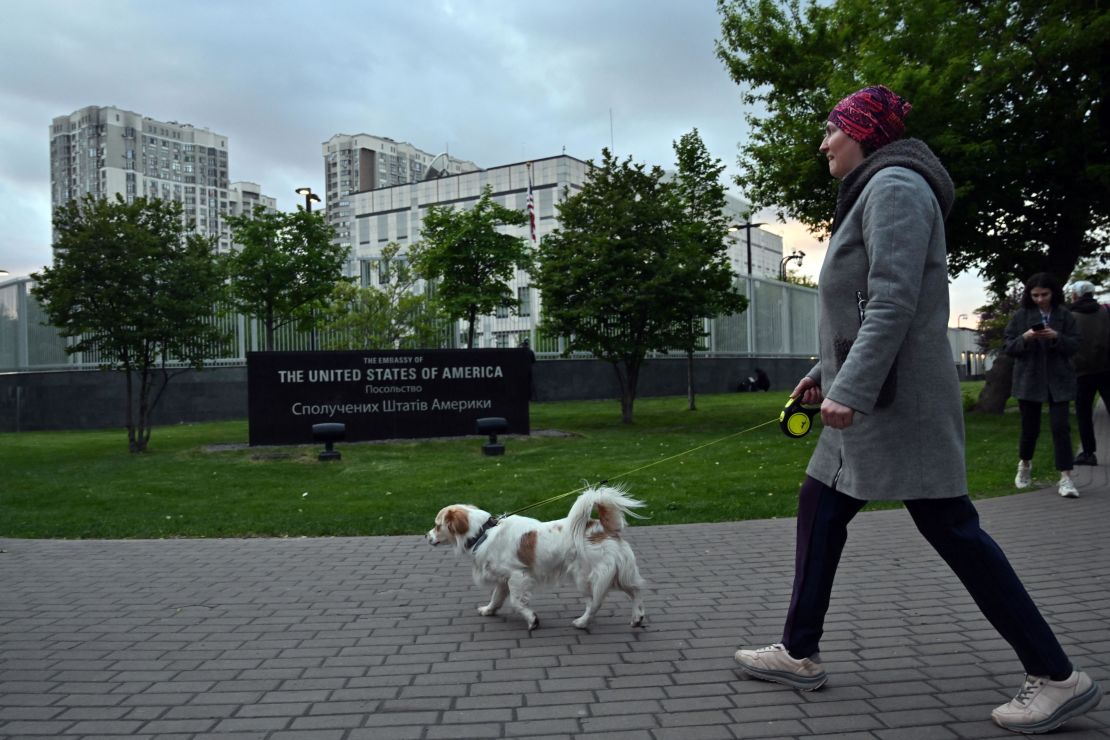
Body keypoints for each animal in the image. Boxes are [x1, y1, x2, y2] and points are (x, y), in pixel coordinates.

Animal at [426, 485, 648, 630]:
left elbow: (516, 602)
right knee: (636, 591)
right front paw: (488, 610)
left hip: (586, 577)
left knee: (594, 603)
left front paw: (532, 619)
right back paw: (637, 617)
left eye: (437, 526)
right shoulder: (503, 580)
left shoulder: (518, 576)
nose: (426, 536)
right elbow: (496, 598)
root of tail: (602, 528)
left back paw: (582, 622)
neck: (483, 532)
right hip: (619, 574)